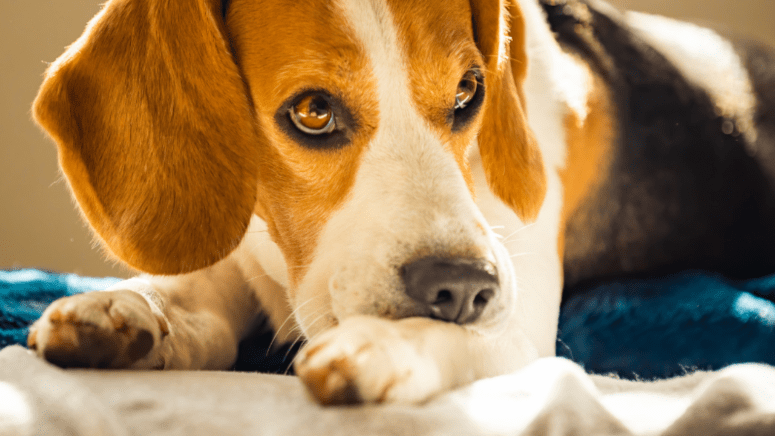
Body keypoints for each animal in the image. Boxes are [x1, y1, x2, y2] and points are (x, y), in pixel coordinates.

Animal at [25, 0, 775, 406]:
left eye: (470, 92)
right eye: (313, 112)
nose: (463, 287)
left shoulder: (521, 325)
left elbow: (464, 333)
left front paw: (386, 345)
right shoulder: (242, 258)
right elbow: (188, 294)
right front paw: (126, 309)